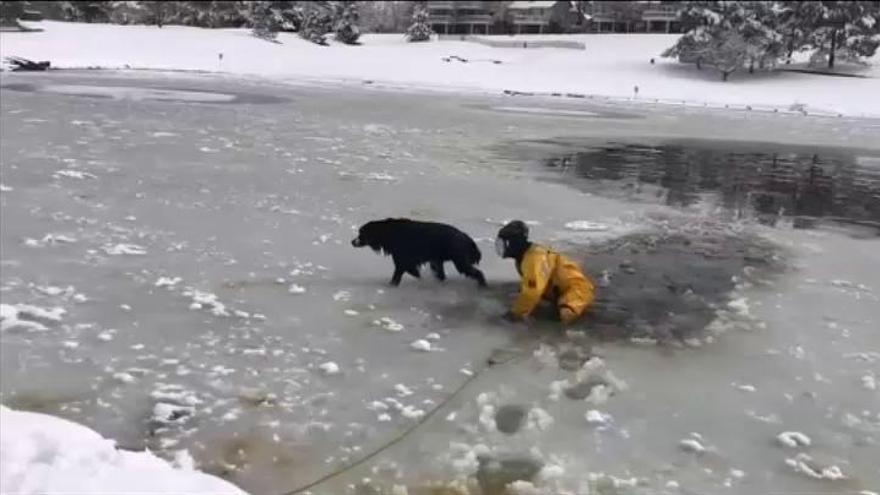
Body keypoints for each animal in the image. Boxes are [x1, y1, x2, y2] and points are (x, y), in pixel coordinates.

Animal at [350, 217, 488, 286]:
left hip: (460, 261)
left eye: (361, 233)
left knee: (477, 273)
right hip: (440, 259)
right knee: (441, 273)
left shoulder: (401, 258)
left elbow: (399, 272)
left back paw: (482, 284)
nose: (352, 242)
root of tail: (466, 238)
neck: (388, 232)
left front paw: (393, 284)